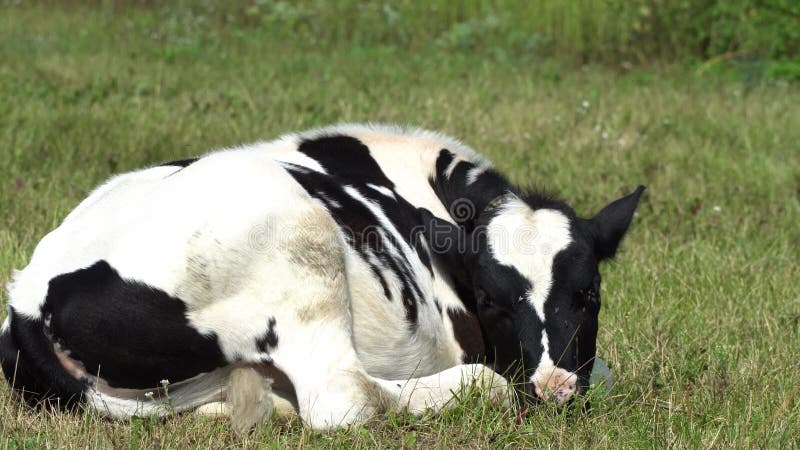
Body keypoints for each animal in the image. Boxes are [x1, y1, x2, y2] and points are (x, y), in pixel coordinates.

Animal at [0, 124, 644, 432]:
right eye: (490, 300)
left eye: (589, 292)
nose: (553, 388)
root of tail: (27, 294)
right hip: (297, 241)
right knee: (347, 396)